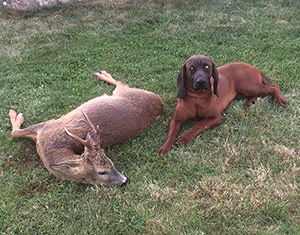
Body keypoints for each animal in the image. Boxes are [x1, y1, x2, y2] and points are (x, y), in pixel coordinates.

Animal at [9, 70, 163, 186]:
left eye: (111, 163)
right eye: (102, 172)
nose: (125, 181)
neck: (49, 150)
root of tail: (159, 101)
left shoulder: (48, 124)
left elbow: (13, 132)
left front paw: (15, 114)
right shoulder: (45, 127)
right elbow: (15, 133)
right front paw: (15, 114)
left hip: (123, 92)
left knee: (122, 83)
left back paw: (101, 74)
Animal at [158, 54, 288, 154]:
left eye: (206, 66)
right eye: (191, 68)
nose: (201, 82)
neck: (197, 98)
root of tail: (254, 67)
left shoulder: (215, 118)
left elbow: (199, 125)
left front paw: (185, 137)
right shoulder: (176, 119)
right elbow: (171, 133)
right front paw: (165, 146)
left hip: (246, 85)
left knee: (274, 86)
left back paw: (281, 100)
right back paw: (249, 103)